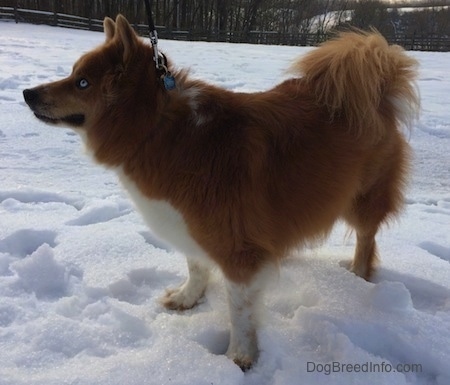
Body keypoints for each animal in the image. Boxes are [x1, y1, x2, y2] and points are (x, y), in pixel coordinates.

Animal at [23, 15, 418, 368]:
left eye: (82, 83)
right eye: (74, 75)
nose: (27, 93)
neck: (158, 128)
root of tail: (377, 89)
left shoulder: (236, 248)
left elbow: (239, 312)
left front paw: (238, 358)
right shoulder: (191, 225)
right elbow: (196, 266)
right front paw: (187, 298)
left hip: (362, 199)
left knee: (366, 238)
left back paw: (358, 275)